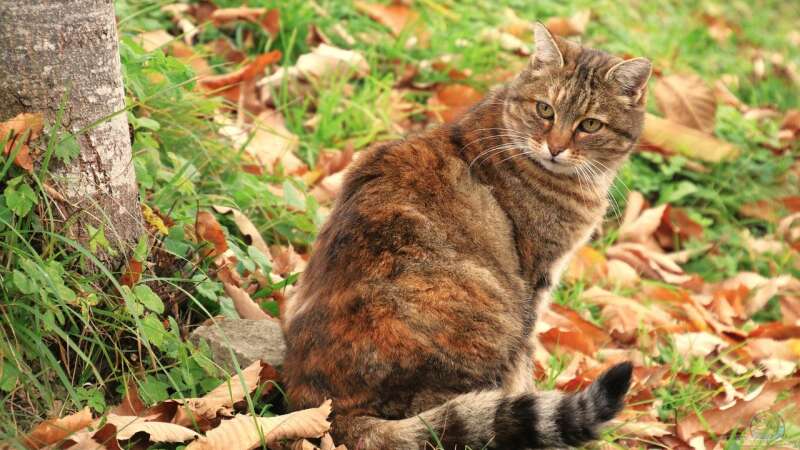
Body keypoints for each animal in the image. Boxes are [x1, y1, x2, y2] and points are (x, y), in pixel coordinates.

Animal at [280, 22, 648, 448]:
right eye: (545, 109)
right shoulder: (536, 280)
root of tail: (328, 409)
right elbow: (527, 361)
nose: (555, 148)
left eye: (589, 125)